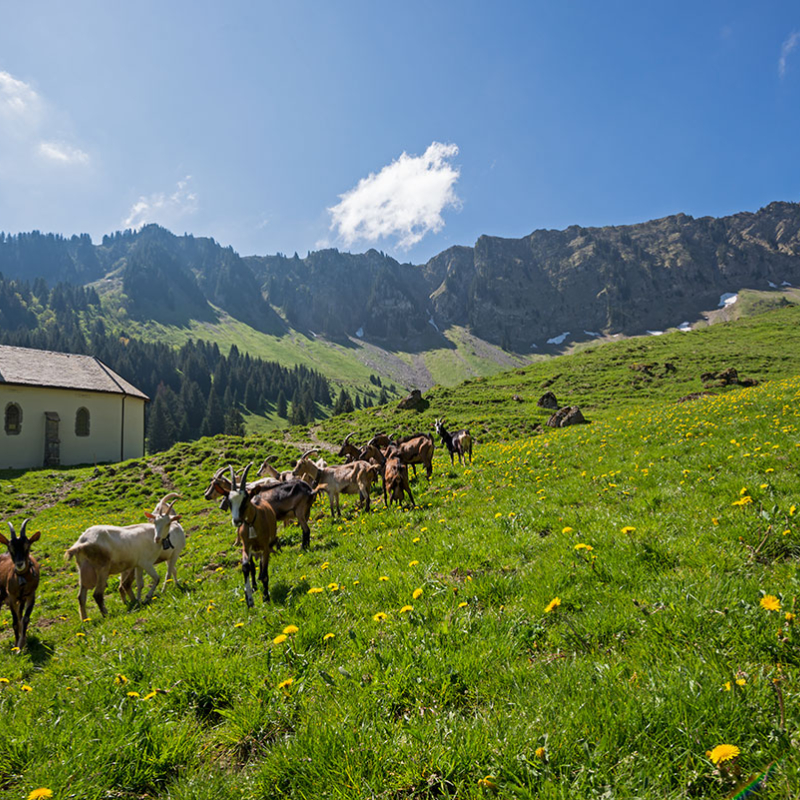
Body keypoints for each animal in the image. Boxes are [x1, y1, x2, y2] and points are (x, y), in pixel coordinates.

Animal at [0, 520, 40, 656]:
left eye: (27, 547)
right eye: (10, 548)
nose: (19, 564)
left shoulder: (31, 595)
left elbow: (25, 619)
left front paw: (22, 643)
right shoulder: (11, 598)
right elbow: (15, 623)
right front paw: (16, 648)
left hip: (21, 600)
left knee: (20, 615)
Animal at [222, 462, 278, 608]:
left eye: (245, 500)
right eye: (229, 501)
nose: (236, 521)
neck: (252, 524)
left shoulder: (265, 547)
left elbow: (265, 573)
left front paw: (266, 597)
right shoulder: (246, 546)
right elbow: (246, 567)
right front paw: (249, 599)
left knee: (262, 565)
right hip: (252, 550)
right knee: (253, 566)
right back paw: (254, 585)